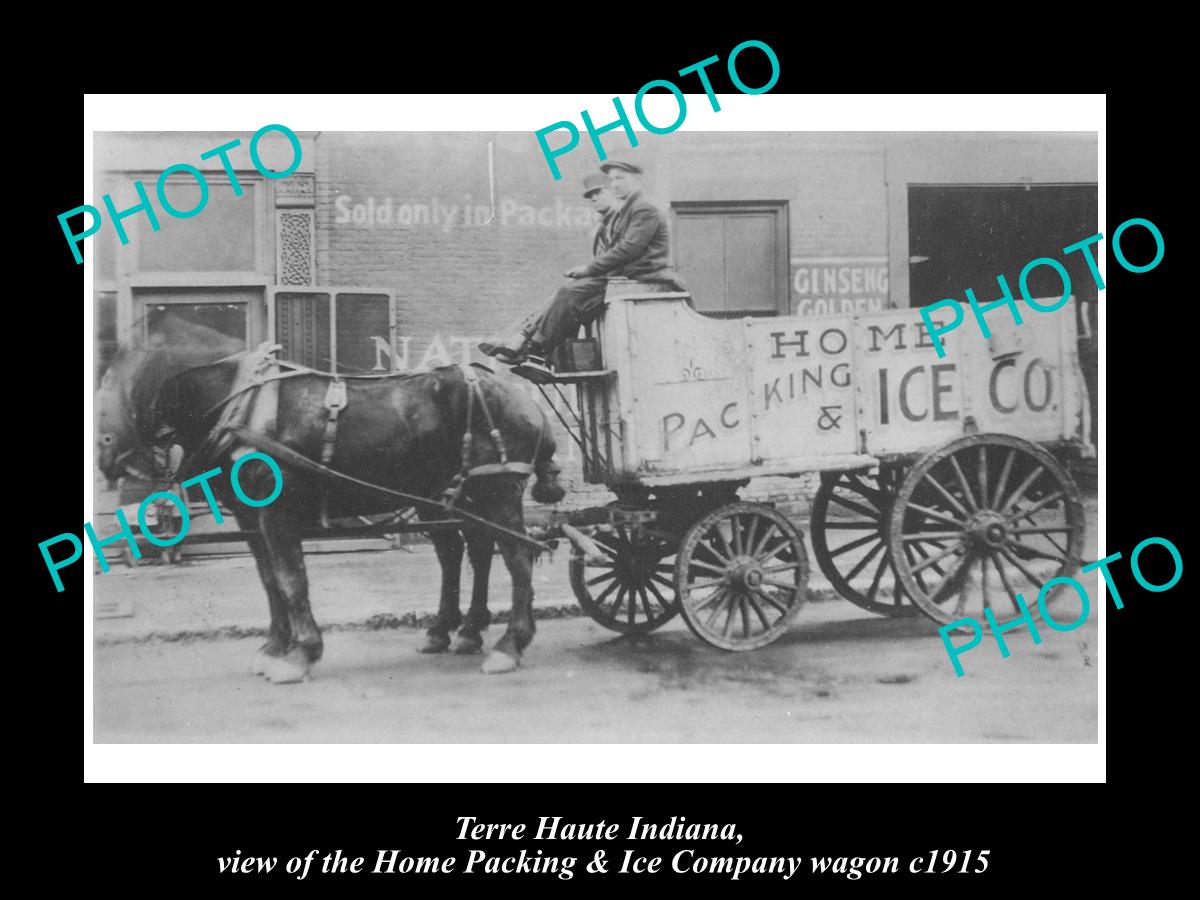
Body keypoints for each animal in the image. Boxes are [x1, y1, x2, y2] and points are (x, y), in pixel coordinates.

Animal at [96, 314, 564, 681]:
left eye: (116, 384)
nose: (106, 457)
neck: (241, 404)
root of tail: (522, 397)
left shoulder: (277, 513)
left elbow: (291, 579)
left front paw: (300, 653)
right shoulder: (250, 519)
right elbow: (270, 581)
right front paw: (273, 648)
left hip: (496, 492)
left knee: (517, 558)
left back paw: (509, 645)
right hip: (452, 495)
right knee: (466, 552)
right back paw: (458, 631)